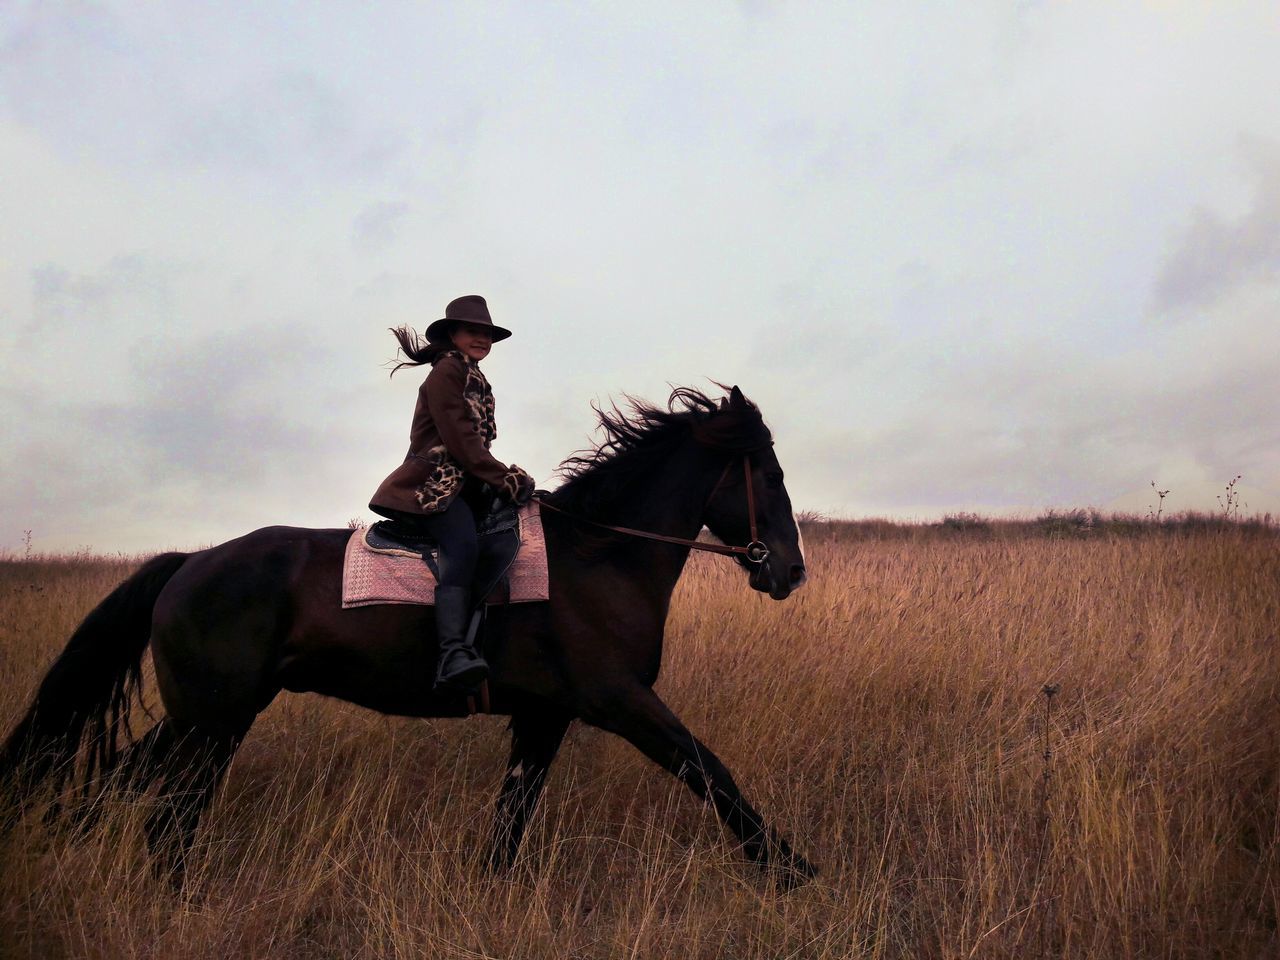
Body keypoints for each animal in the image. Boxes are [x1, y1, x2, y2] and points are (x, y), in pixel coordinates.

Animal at [0, 384, 814, 885]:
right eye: (770, 475)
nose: (790, 571)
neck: (598, 556)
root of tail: (188, 563)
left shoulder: (544, 716)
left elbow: (513, 816)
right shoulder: (620, 701)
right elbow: (710, 771)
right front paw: (791, 869)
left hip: (202, 717)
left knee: (131, 788)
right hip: (214, 719)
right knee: (168, 813)